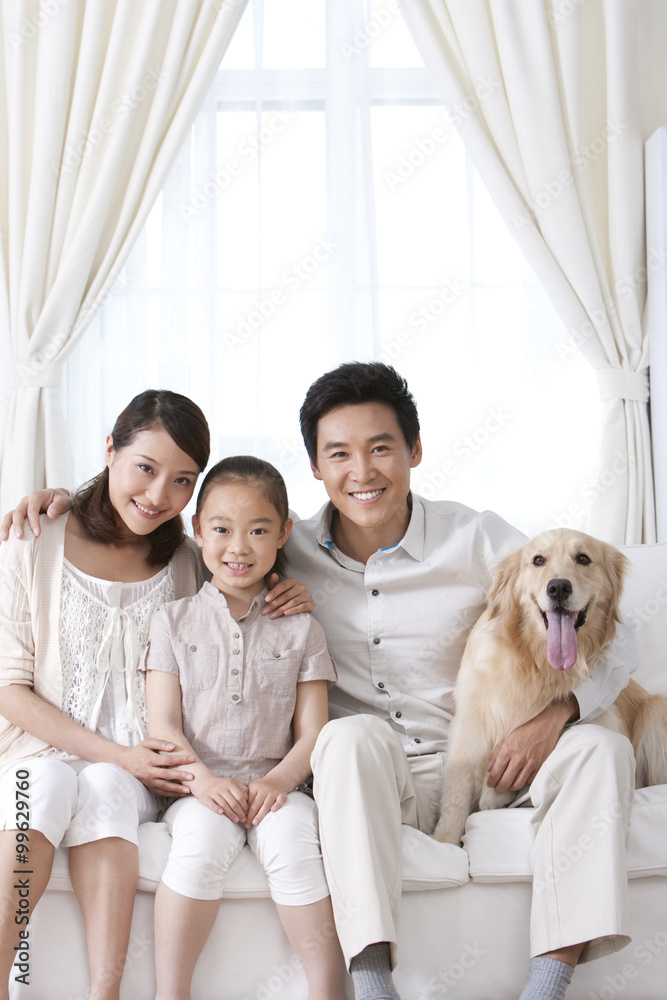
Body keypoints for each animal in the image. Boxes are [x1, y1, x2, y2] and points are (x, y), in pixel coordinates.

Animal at [434, 528, 667, 848]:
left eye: (583, 559)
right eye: (538, 560)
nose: (558, 587)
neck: (536, 664)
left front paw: (494, 794)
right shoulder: (470, 724)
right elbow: (456, 792)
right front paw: (443, 840)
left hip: (657, 709)